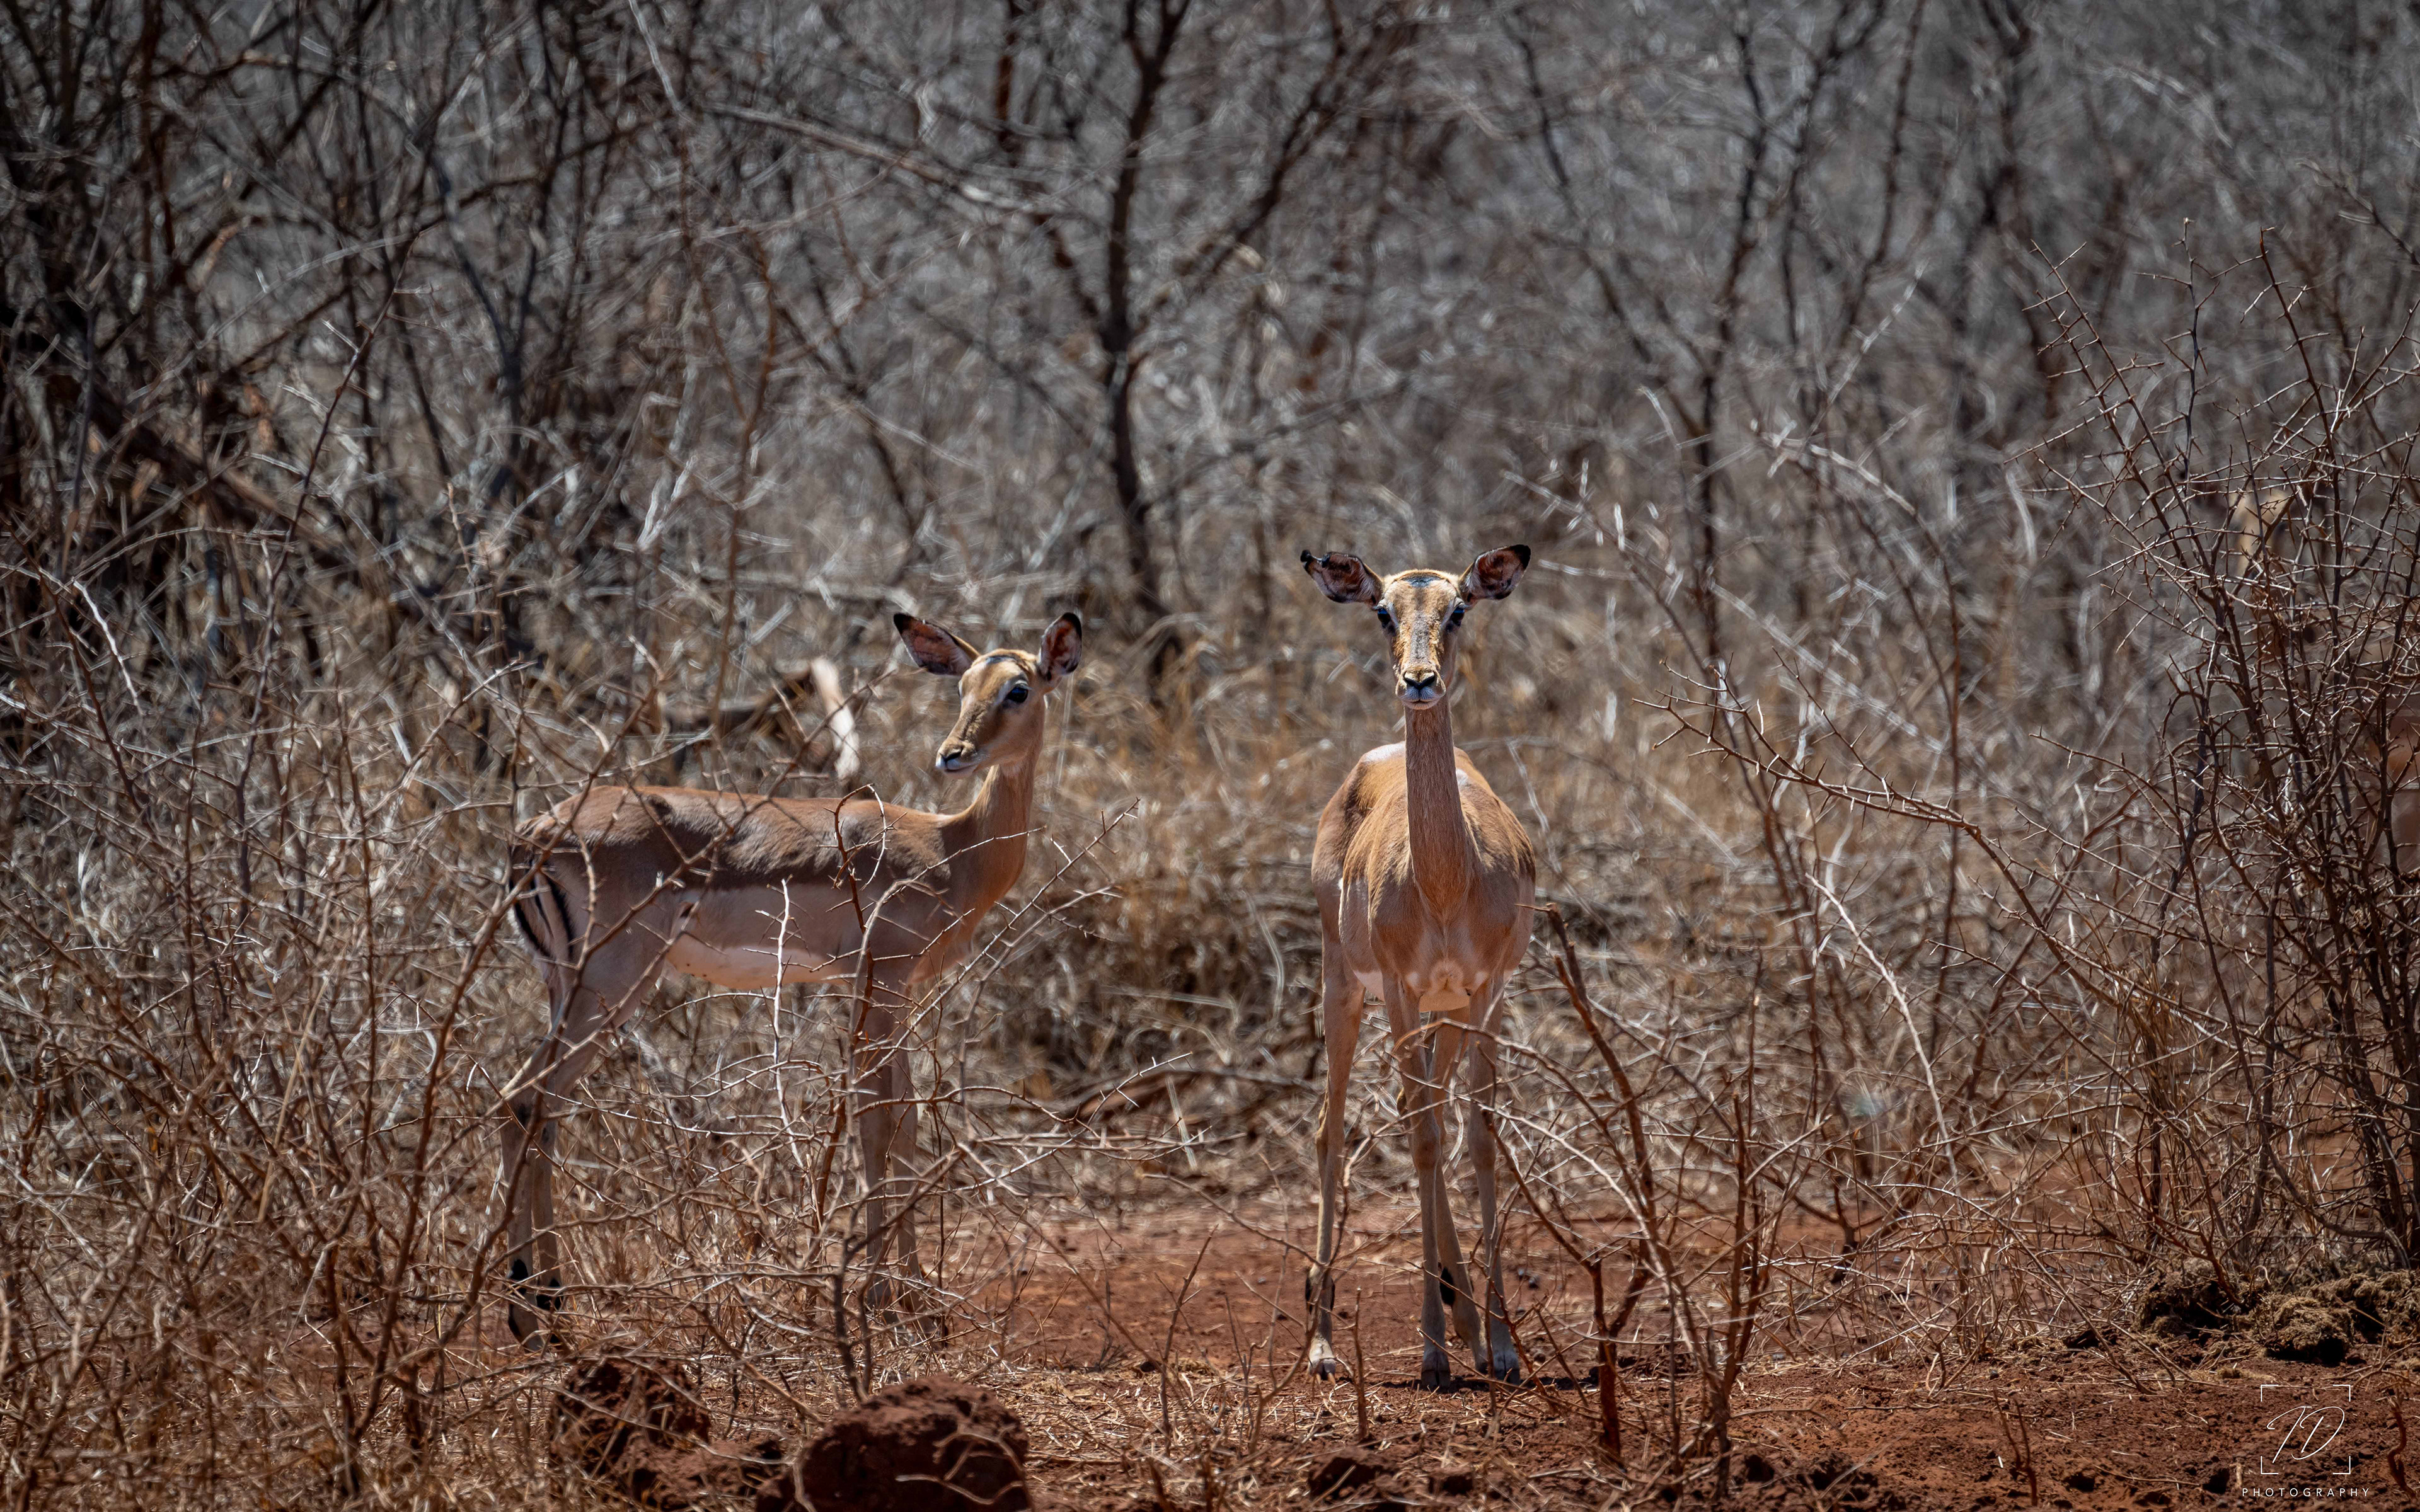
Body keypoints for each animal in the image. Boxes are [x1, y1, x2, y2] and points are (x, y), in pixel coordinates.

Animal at [497, 611, 1083, 1346]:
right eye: (963, 688)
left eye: (1017, 689)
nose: (954, 754)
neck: (954, 851)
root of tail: (530, 835)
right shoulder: (881, 982)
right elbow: (878, 1126)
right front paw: (889, 1302)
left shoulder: (889, 992)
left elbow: (906, 1124)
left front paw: (918, 1304)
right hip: (610, 984)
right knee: (524, 1099)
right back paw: (529, 1313)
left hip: (569, 987)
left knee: (541, 1110)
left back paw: (548, 1300)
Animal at [1299, 543, 1535, 1389]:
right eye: (1382, 610)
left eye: (1459, 608)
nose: (1420, 680)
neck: (1445, 883)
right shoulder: (1401, 989)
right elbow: (1426, 1141)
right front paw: (1434, 1350)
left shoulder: (1487, 992)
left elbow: (1480, 1139)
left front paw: (1501, 1345)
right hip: (1346, 990)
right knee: (1337, 1132)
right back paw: (1324, 1345)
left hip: (1446, 1012)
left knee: (1427, 1109)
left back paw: (1469, 1325)